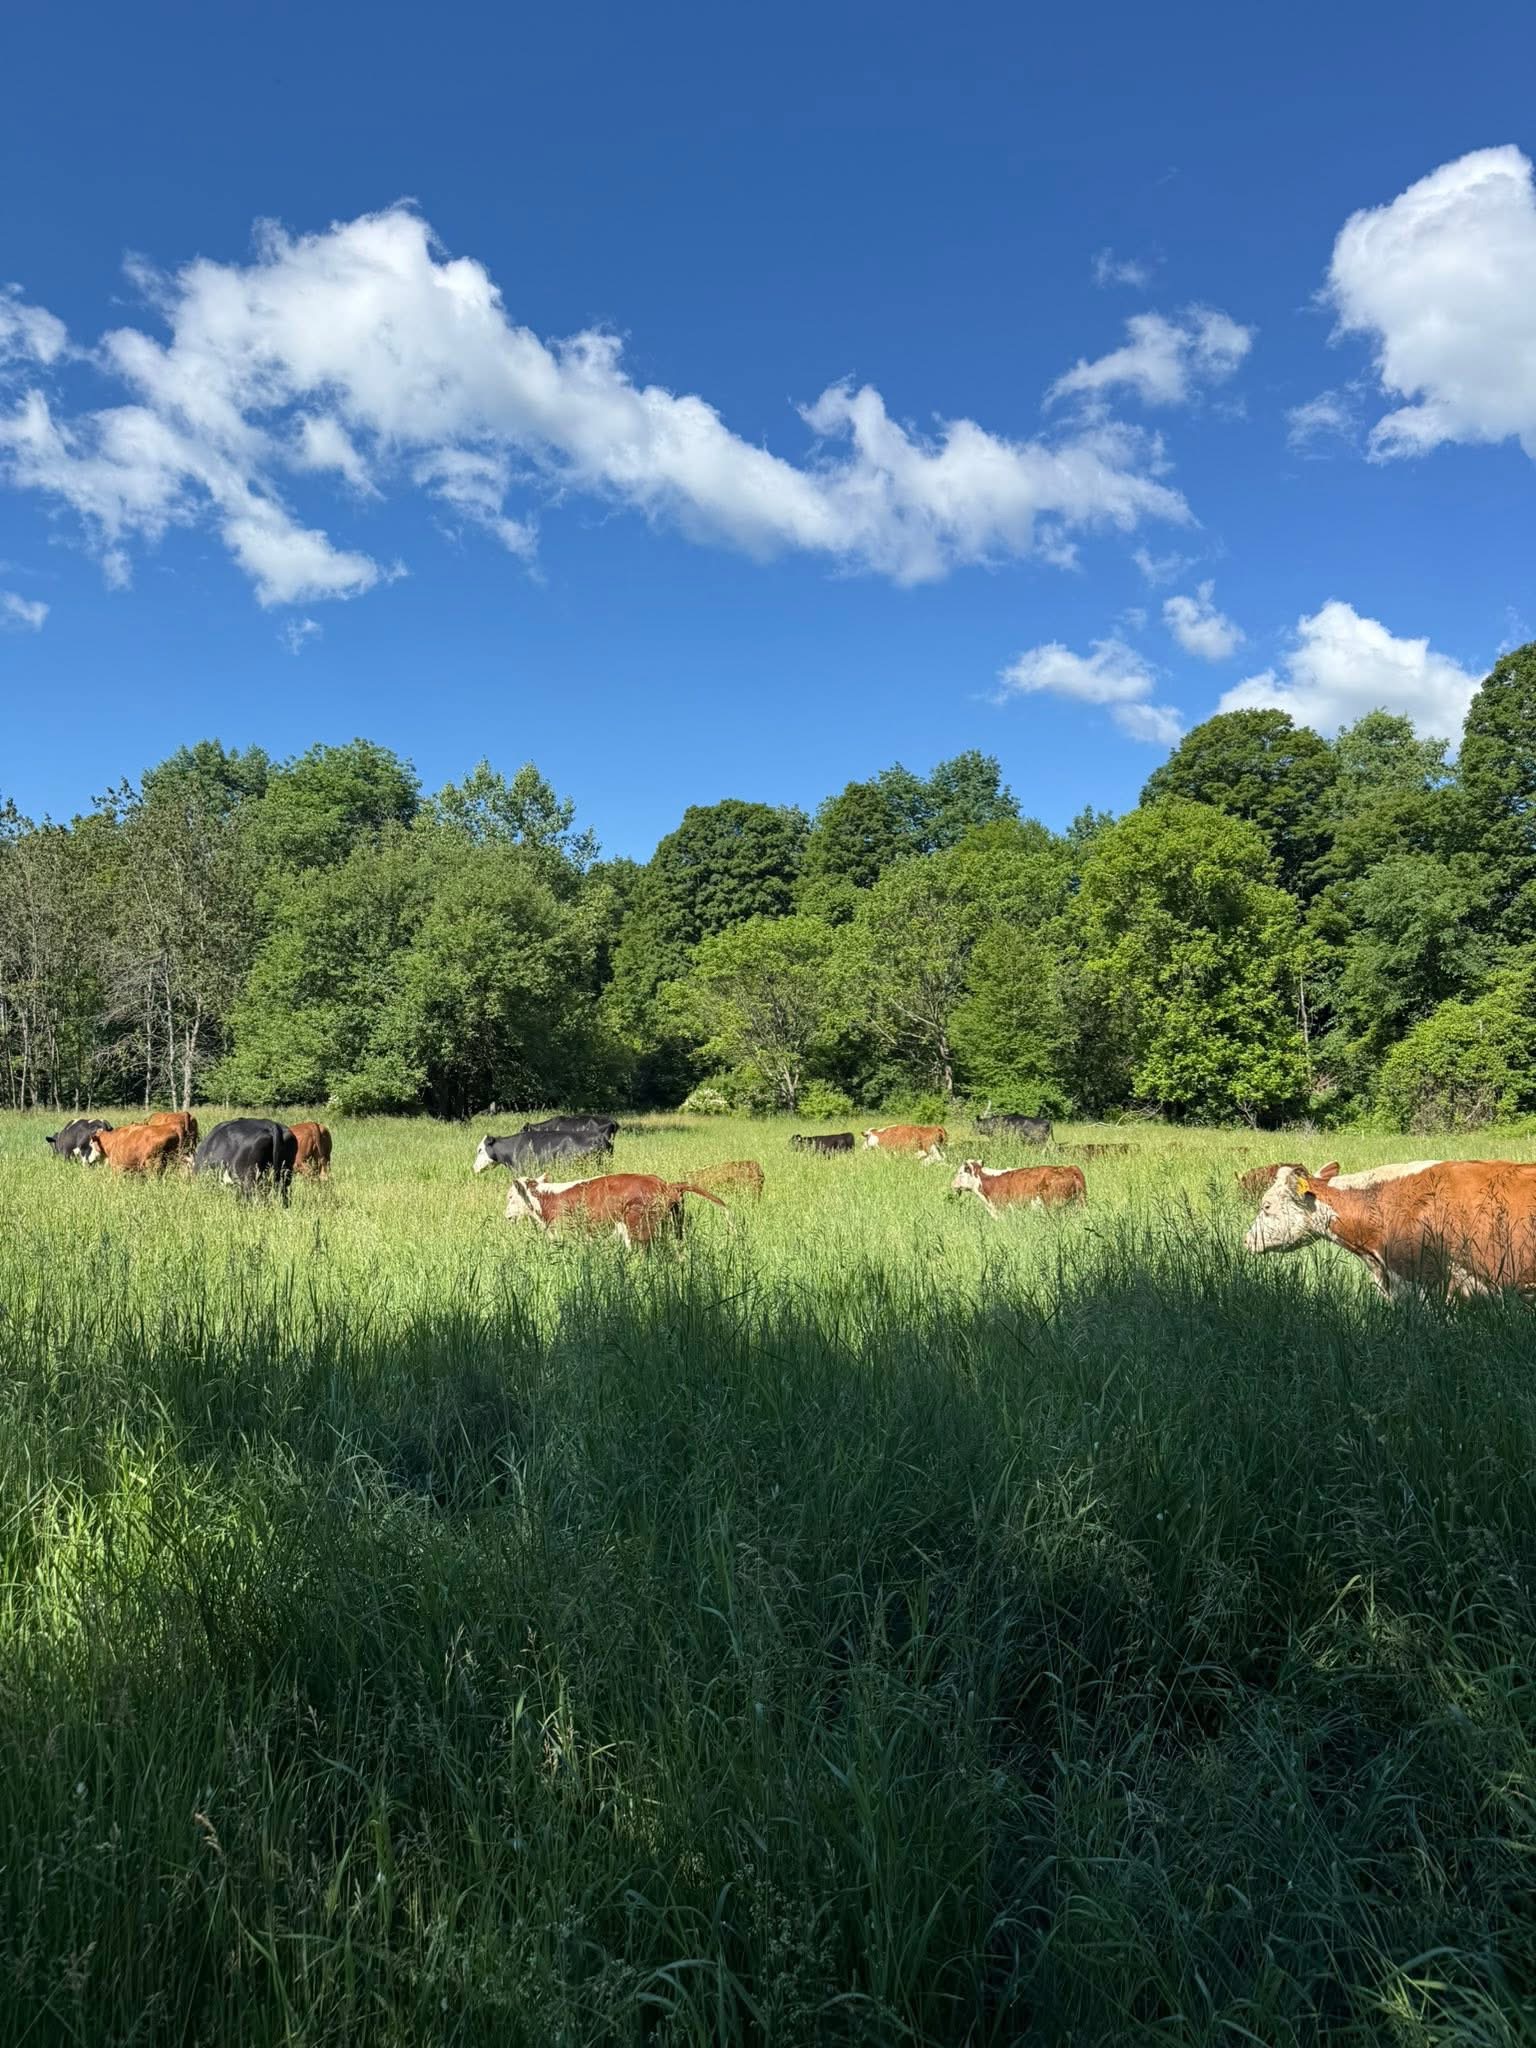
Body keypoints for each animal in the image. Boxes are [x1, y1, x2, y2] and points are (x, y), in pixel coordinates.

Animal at [504, 1171, 731, 1249]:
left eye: (510, 1197)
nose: (505, 1216)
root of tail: (667, 1185)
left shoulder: (564, 1233)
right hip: (674, 1228)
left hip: (638, 1230)